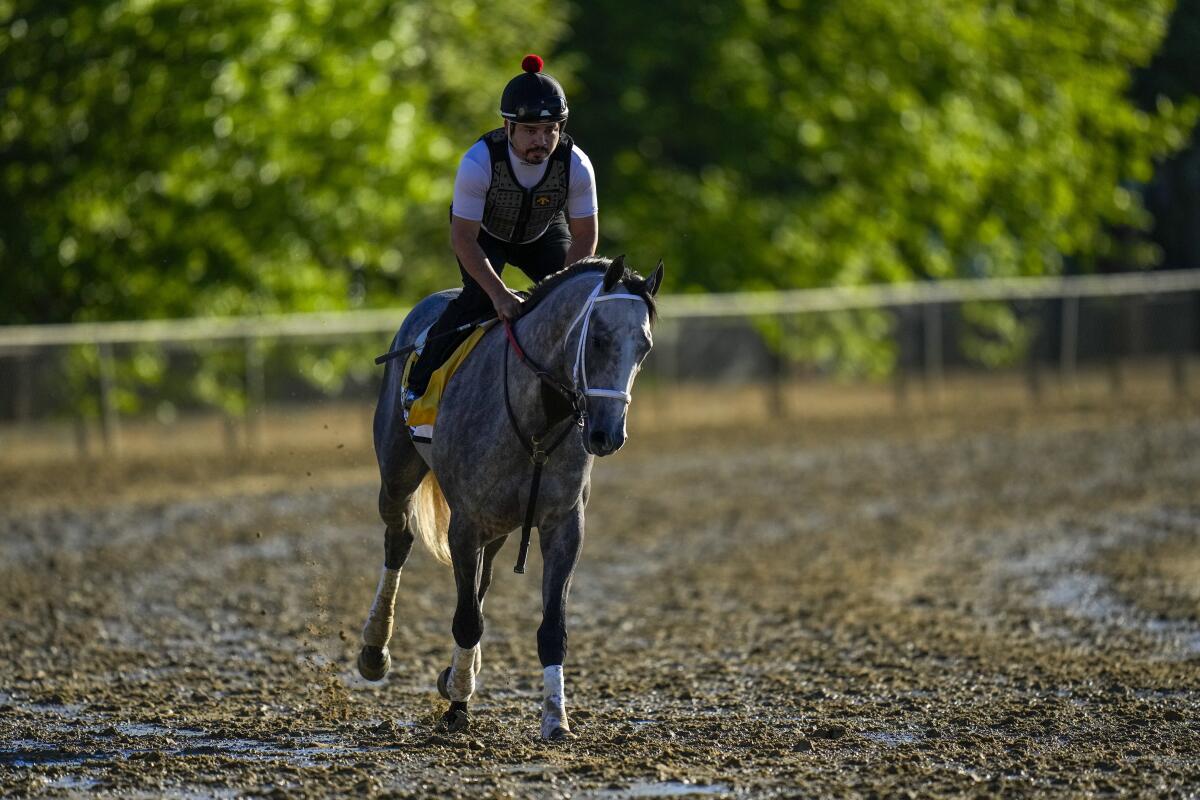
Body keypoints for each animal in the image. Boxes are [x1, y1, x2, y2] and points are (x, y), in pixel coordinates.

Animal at [355, 256, 667, 738]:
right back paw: (375, 650)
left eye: (644, 347)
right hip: (396, 472)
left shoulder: (564, 524)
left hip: (501, 522)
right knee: (398, 540)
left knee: (481, 577)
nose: (607, 434)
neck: (537, 416)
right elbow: (467, 620)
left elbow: (550, 628)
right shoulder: (465, 524)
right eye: (599, 338)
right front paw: (458, 706)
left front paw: (556, 719)